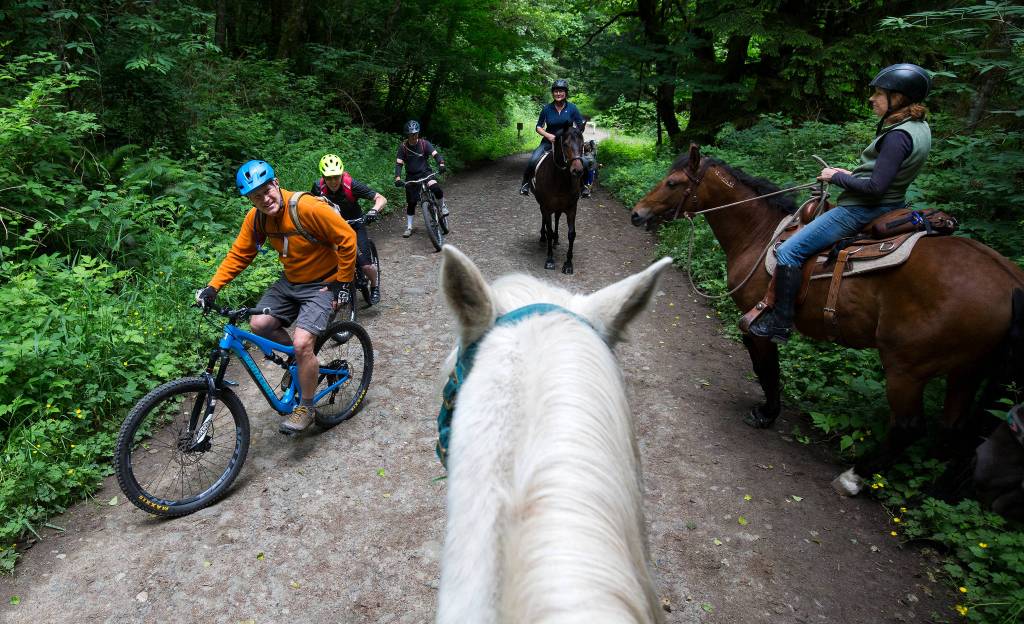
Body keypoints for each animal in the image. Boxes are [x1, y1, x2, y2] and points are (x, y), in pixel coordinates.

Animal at [531, 124, 586, 274]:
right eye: (565, 144)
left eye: (583, 145)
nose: (578, 171)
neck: (560, 179)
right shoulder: (547, 206)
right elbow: (549, 230)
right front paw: (550, 260)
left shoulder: (572, 208)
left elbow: (571, 234)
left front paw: (568, 264)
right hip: (543, 205)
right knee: (544, 219)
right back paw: (543, 237)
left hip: (559, 208)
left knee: (556, 219)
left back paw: (556, 240)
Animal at [630, 144, 1024, 498]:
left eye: (673, 182)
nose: (636, 214)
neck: (760, 234)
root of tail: (1011, 281)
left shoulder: (757, 326)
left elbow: (766, 369)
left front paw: (766, 414)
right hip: (966, 372)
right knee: (956, 432)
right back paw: (938, 492)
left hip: (907, 367)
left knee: (909, 427)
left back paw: (854, 477)